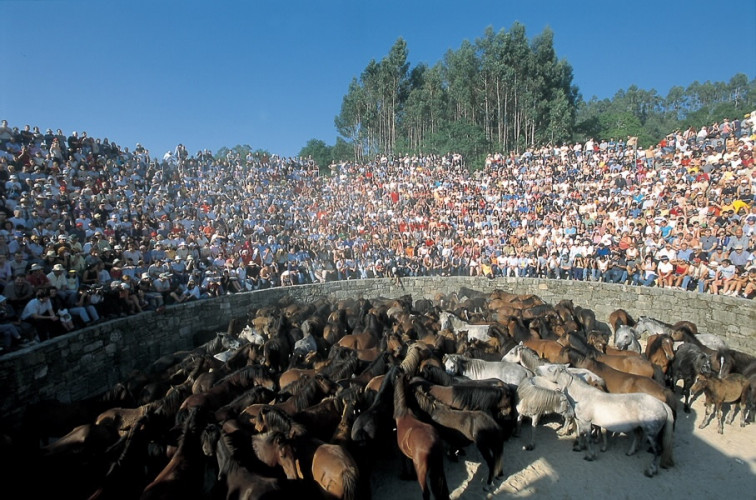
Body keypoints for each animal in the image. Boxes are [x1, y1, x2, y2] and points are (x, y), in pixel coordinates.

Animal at [536, 364, 672, 476]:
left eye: (550, 368)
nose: (537, 369)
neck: (583, 396)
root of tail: (662, 404)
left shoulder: (587, 422)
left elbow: (588, 438)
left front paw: (590, 455)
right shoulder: (581, 421)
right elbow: (581, 434)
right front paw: (579, 447)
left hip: (651, 433)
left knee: (658, 450)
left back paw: (651, 470)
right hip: (638, 427)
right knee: (638, 437)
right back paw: (630, 452)